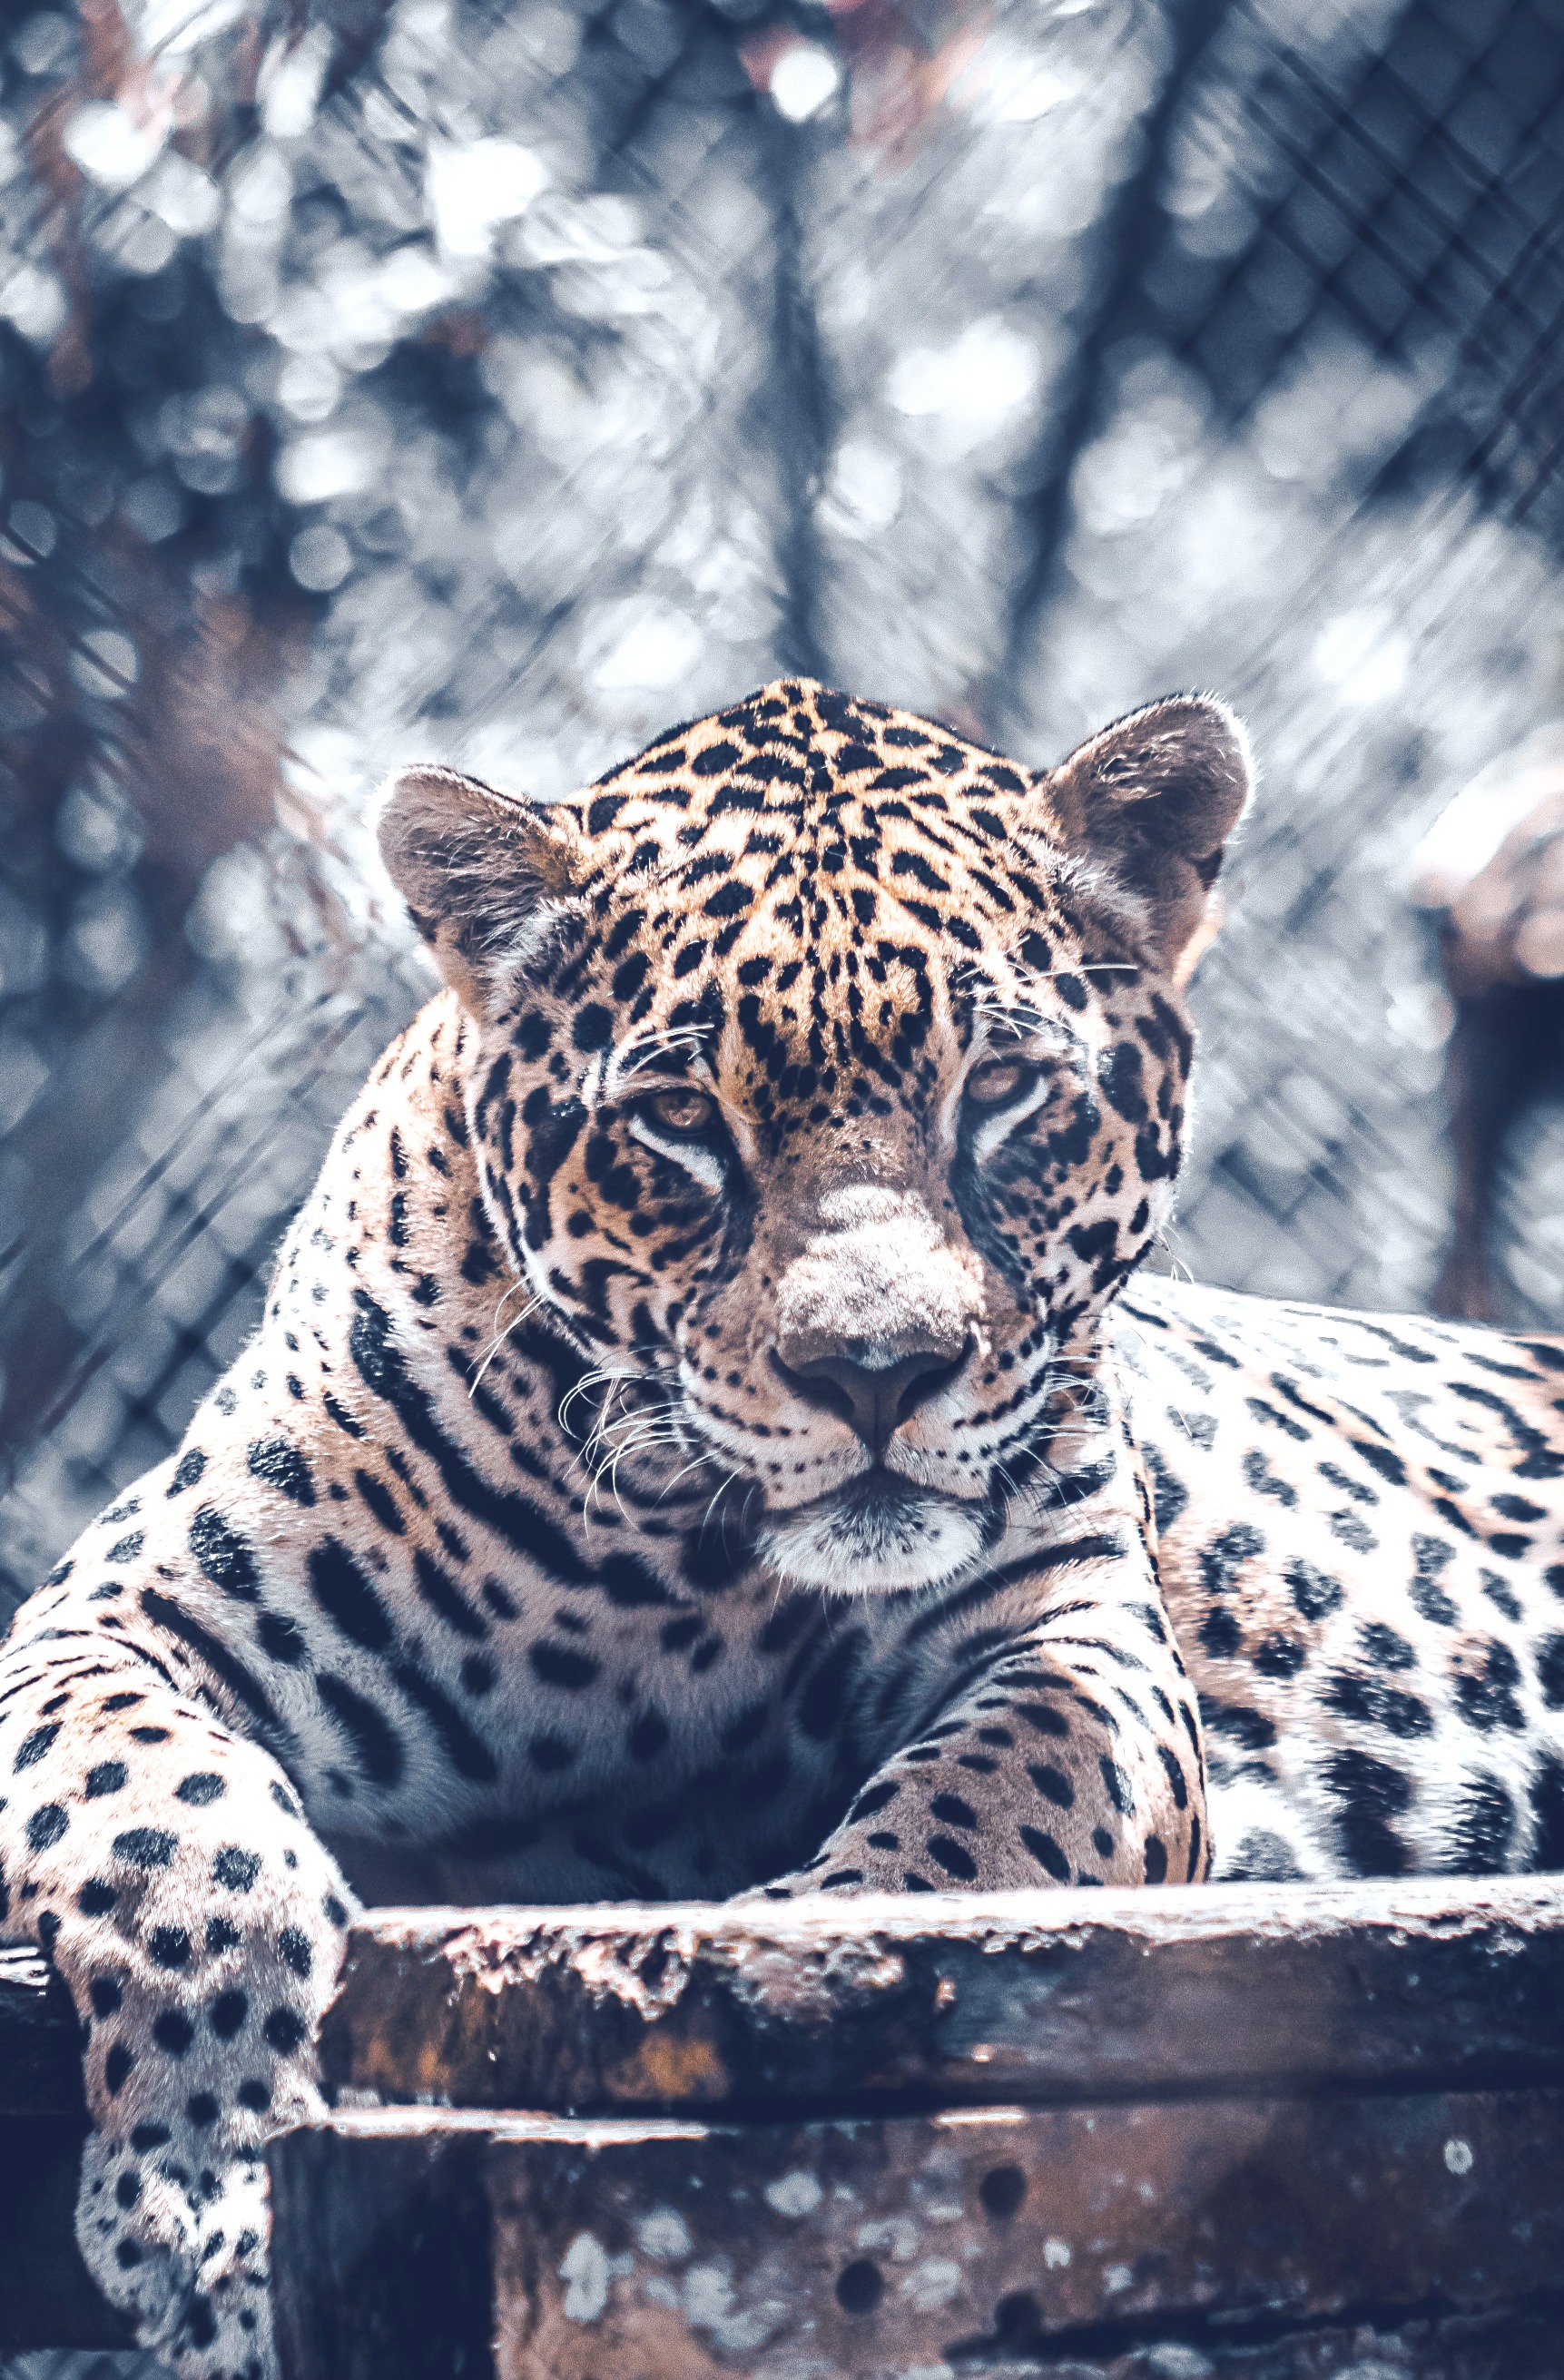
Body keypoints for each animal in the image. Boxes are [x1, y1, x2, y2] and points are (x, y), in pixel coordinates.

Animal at [6, 675, 1564, 2380]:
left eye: (1001, 1090)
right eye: (679, 1120)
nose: (873, 1369)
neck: (662, 1568)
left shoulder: (1079, 1645)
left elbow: (974, 1828)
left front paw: (771, 1984)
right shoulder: (110, 1613)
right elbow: (173, 1827)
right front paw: (221, 2184)